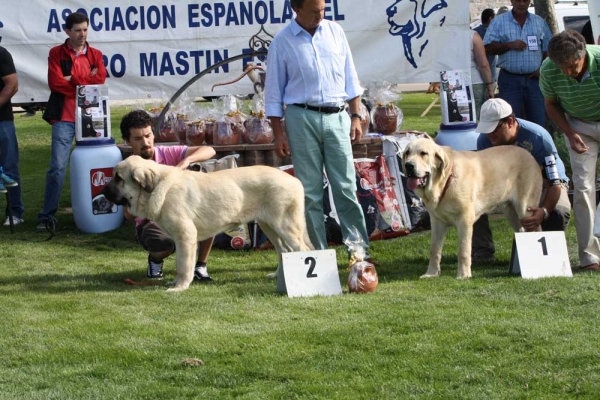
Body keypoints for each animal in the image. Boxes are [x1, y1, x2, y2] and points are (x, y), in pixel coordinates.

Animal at [103, 155, 314, 290]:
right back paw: (279, 277)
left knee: (303, 251)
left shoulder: (185, 236)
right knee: (284, 251)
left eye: (118, 178)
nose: (103, 192)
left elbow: (183, 265)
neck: (159, 187)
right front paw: (176, 283)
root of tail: (294, 180)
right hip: (269, 227)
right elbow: (181, 264)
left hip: (284, 226)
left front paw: (180, 287)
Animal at [404, 139, 544, 280]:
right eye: (407, 153)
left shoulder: (464, 220)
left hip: (525, 209)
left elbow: (463, 250)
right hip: (511, 213)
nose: (408, 165)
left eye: (423, 153)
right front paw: (431, 273)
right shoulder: (437, 221)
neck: (445, 181)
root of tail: (528, 154)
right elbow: (434, 250)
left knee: (536, 230)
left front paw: (463, 275)